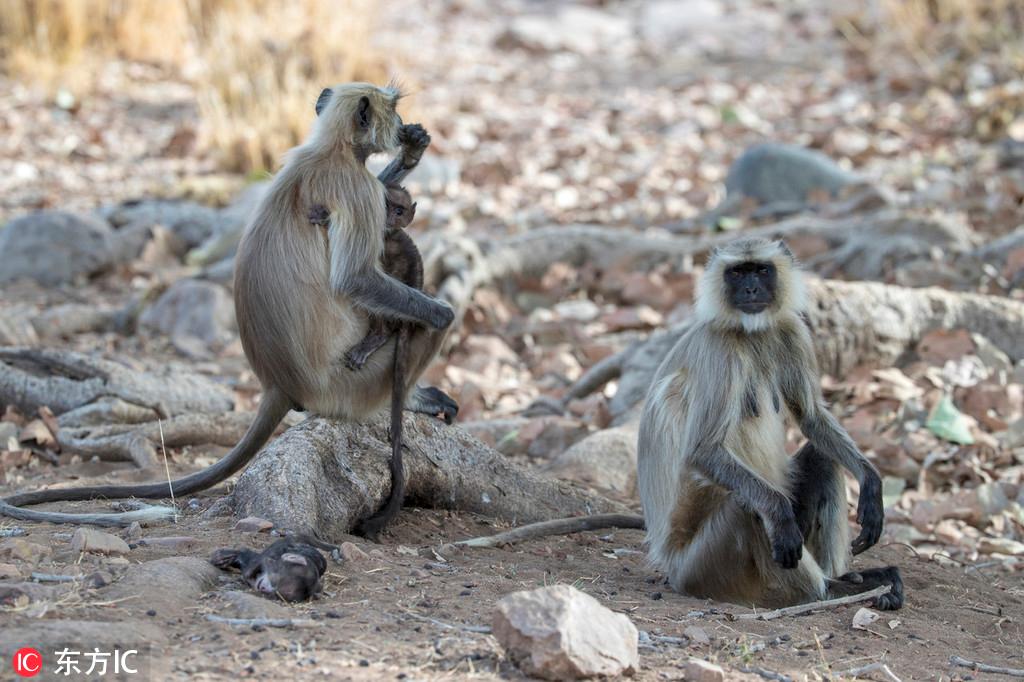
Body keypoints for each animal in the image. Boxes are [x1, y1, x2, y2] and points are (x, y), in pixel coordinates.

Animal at [0, 80, 456, 524]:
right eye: (392, 107)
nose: (401, 126)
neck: (330, 149)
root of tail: (278, 384)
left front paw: (413, 151)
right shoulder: (357, 188)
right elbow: (355, 279)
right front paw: (441, 310)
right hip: (355, 385)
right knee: (413, 332)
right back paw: (415, 392)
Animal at [638, 236, 905, 606]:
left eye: (762, 270)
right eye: (738, 273)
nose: (750, 289)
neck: (751, 333)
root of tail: (669, 565)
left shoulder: (792, 331)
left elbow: (810, 416)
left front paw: (871, 482)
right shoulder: (718, 348)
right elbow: (703, 451)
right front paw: (779, 515)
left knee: (823, 459)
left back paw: (846, 578)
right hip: (700, 567)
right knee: (749, 504)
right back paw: (831, 589)